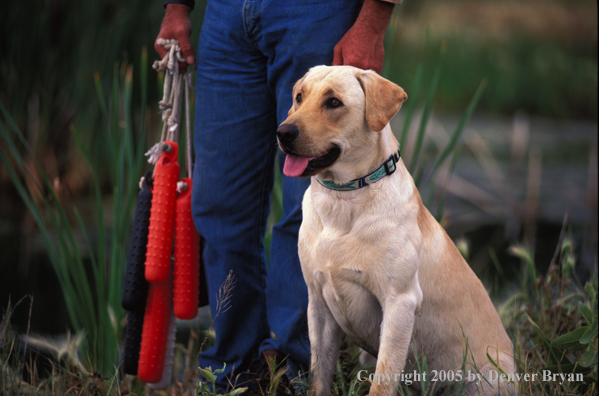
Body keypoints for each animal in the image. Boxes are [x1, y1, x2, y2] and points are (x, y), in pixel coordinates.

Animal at [278, 66, 516, 394]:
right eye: (300, 97)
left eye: (334, 103)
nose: (283, 132)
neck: (343, 199)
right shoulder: (318, 304)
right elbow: (319, 374)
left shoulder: (399, 303)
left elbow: (383, 380)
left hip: (488, 377)